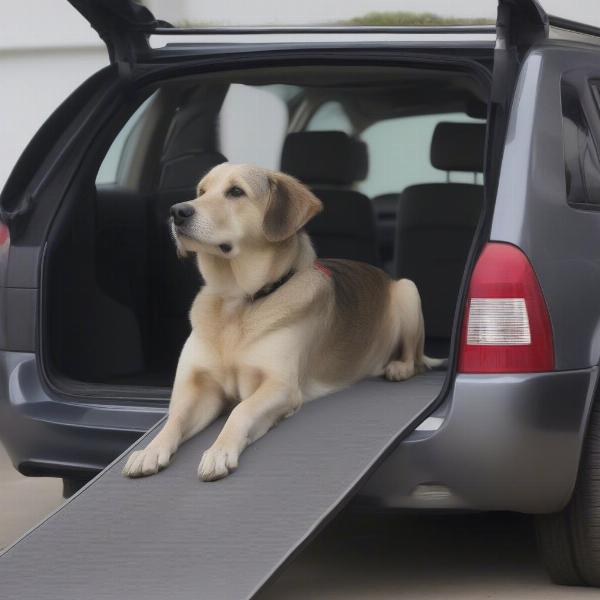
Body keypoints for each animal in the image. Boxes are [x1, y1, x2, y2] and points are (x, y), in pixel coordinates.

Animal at [122, 162, 442, 480]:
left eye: (235, 191)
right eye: (201, 191)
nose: (177, 211)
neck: (237, 301)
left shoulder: (280, 387)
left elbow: (240, 410)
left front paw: (219, 451)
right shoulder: (201, 388)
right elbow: (175, 417)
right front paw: (151, 450)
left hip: (408, 290)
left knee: (415, 358)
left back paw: (399, 367)